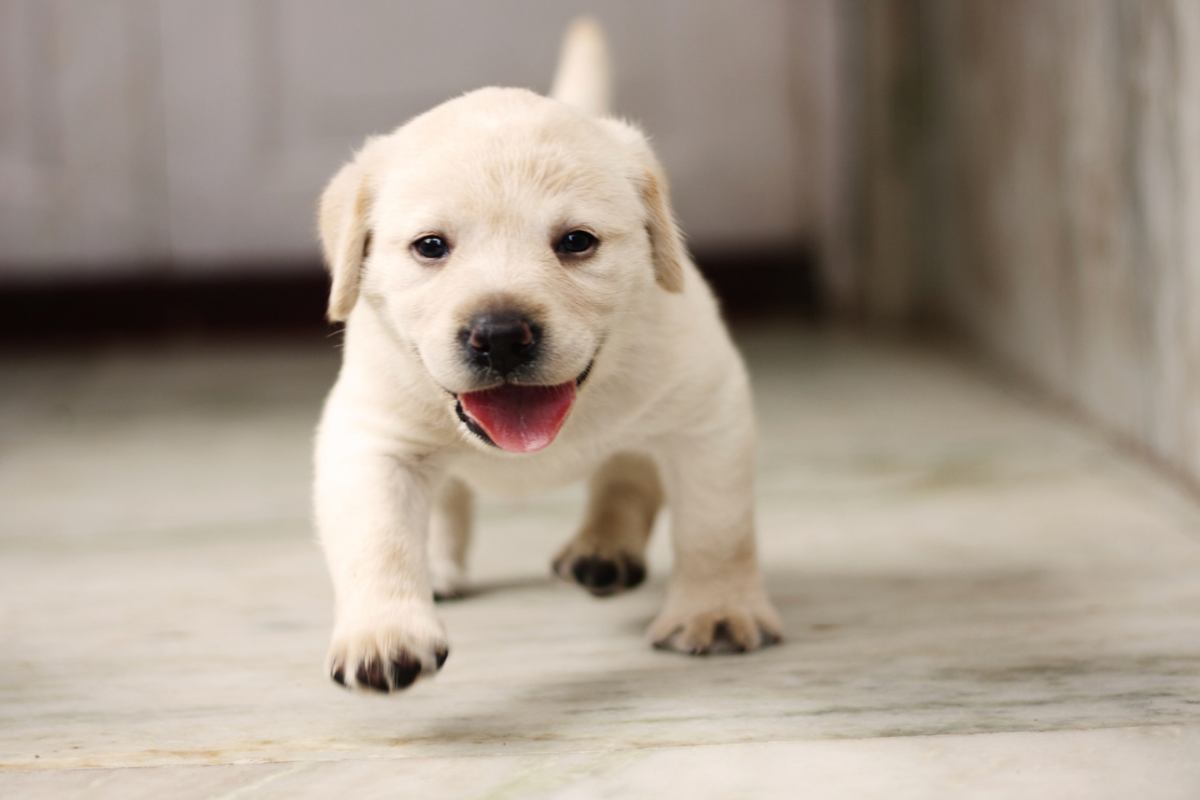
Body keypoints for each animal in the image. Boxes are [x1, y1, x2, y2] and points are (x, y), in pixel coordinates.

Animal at [314, 20, 782, 695]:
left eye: (577, 242)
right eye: (430, 247)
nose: (501, 335)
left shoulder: (707, 413)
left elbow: (715, 527)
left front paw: (717, 611)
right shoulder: (370, 437)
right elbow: (378, 537)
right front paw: (384, 633)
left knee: (627, 475)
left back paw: (603, 550)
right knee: (451, 497)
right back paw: (443, 567)